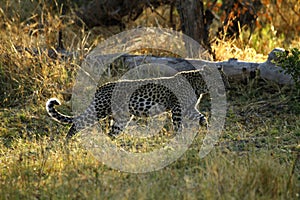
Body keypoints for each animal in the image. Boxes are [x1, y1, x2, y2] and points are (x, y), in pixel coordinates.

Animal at [47, 69, 211, 139]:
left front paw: (208, 130)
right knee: (78, 123)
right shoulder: (177, 109)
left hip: (121, 118)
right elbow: (178, 125)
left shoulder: (189, 108)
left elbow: (202, 117)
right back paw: (67, 143)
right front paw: (178, 139)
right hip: (100, 109)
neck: (198, 83)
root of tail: (102, 87)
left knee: (111, 134)